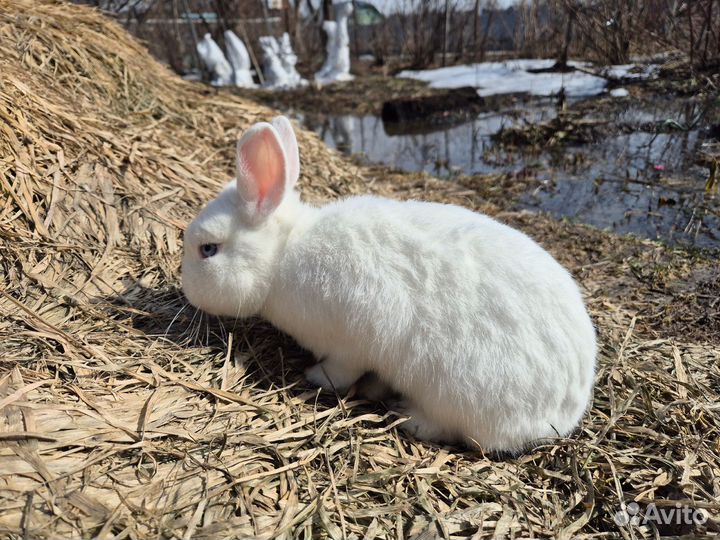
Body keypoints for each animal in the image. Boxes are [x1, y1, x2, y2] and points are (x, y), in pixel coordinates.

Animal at [181, 116, 597, 452]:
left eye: (208, 249)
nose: (186, 291)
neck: (284, 254)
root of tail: (566, 410)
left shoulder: (348, 345)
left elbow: (341, 372)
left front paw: (316, 378)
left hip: (454, 394)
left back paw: (409, 416)